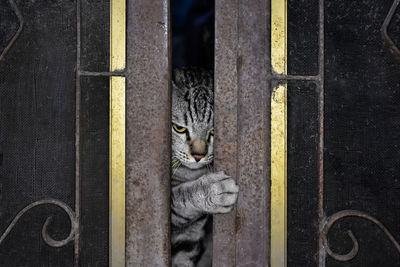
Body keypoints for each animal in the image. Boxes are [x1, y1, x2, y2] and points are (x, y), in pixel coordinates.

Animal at [171, 69, 239, 267]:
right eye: (179, 128)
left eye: (214, 131)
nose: (198, 156)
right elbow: (180, 197)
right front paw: (213, 191)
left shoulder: (188, 239)